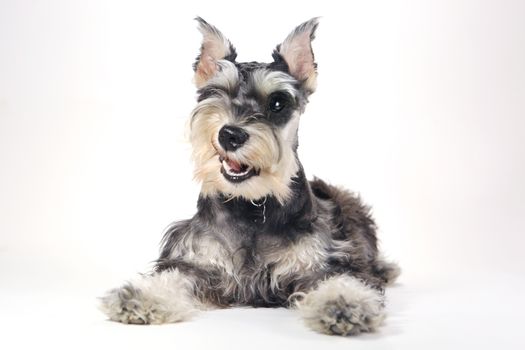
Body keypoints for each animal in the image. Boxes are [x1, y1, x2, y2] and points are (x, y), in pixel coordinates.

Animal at [100, 17, 400, 336]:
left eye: (278, 103)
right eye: (215, 92)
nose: (230, 135)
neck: (252, 206)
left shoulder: (323, 261)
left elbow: (343, 278)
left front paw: (345, 304)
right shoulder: (199, 263)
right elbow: (173, 276)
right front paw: (138, 296)